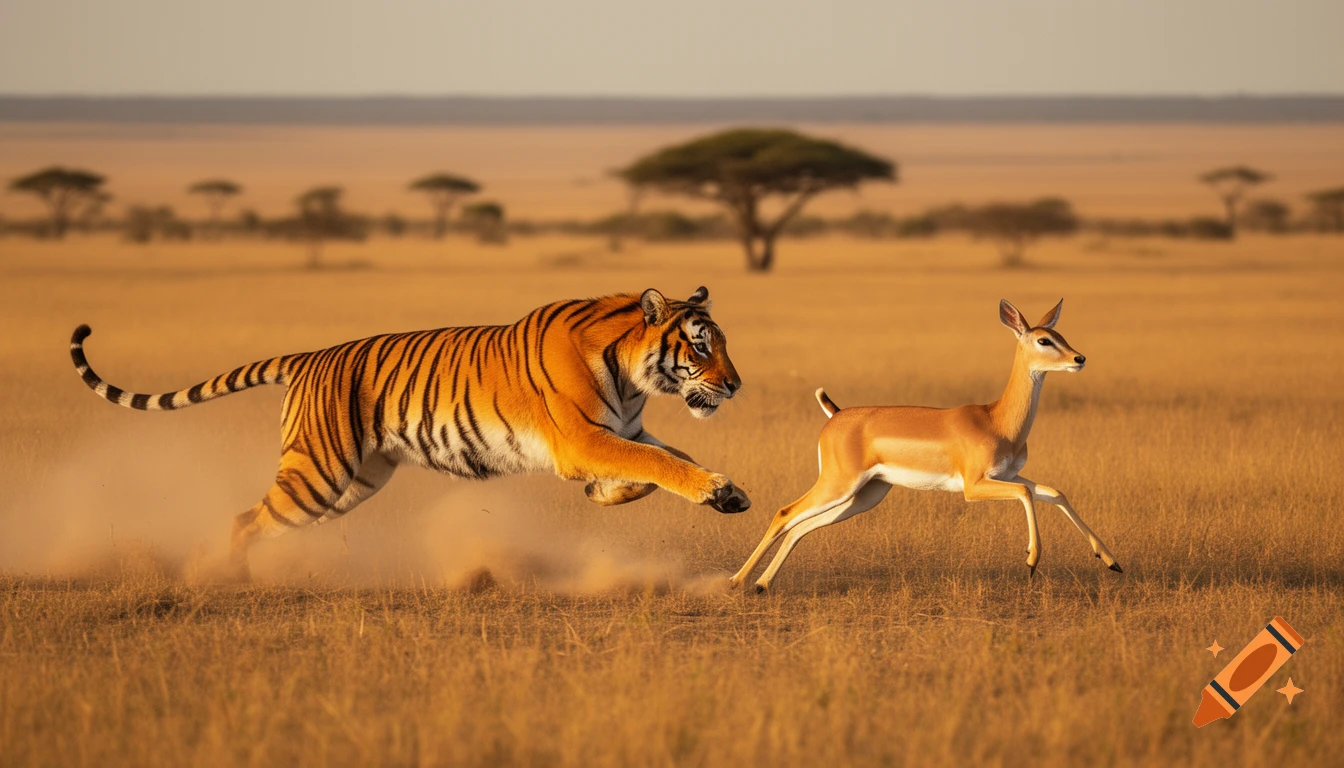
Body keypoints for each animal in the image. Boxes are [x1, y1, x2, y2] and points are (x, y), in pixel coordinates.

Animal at [69, 286, 750, 577]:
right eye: (700, 345)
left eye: (722, 343)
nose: (737, 384)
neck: (636, 375)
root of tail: (308, 358)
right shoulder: (582, 440)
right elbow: (661, 464)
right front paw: (714, 491)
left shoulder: (623, 431)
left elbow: (666, 458)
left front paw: (637, 493)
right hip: (317, 476)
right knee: (244, 521)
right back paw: (226, 580)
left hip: (350, 484)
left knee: (258, 519)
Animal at [730, 299, 1123, 593]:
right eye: (1043, 340)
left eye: (1060, 334)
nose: (1079, 359)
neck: (996, 419)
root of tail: (836, 414)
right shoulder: (974, 487)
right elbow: (1027, 496)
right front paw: (1031, 561)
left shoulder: (1010, 476)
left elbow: (1055, 492)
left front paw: (1111, 561)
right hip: (838, 485)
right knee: (785, 513)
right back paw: (737, 582)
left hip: (864, 496)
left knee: (801, 526)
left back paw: (762, 584)